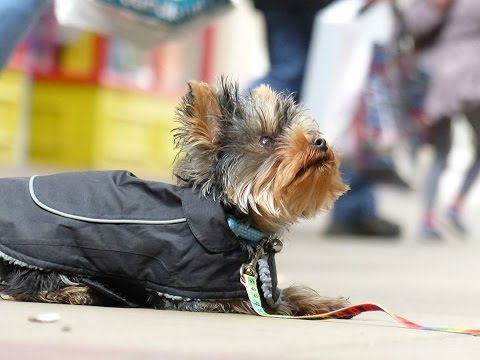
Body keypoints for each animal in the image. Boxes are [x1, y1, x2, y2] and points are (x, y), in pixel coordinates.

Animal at [0, 79, 346, 316]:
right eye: (265, 140)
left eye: (303, 131)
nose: (320, 141)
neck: (231, 216)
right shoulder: (195, 292)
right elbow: (251, 301)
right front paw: (290, 306)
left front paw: (319, 302)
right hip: (46, 261)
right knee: (23, 285)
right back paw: (74, 293)